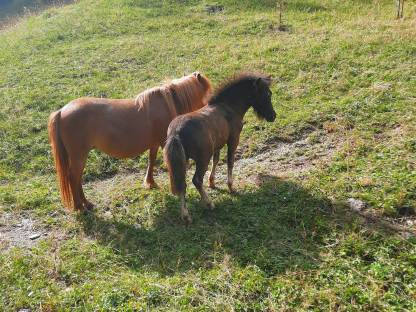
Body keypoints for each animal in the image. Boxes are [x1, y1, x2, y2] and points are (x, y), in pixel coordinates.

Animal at [48, 71, 211, 212]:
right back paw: (80, 207)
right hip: (79, 156)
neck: (167, 103)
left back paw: (87, 204)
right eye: (207, 92)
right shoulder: (164, 143)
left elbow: (151, 161)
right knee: (73, 178)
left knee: (77, 179)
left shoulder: (154, 144)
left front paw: (150, 183)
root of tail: (61, 111)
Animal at [163, 73, 276, 222]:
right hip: (202, 159)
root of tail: (176, 132)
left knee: (182, 183)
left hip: (183, 160)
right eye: (267, 94)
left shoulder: (217, 145)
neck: (228, 106)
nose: (273, 116)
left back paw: (186, 215)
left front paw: (212, 182)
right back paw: (209, 204)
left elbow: (216, 161)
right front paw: (231, 187)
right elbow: (230, 161)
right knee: (196, 180)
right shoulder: (233, 140)